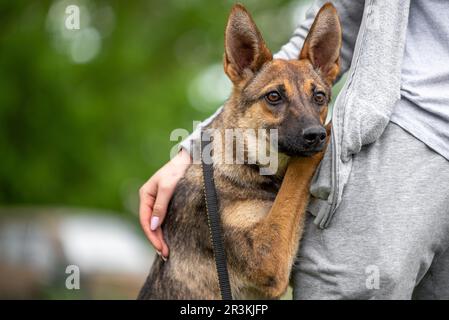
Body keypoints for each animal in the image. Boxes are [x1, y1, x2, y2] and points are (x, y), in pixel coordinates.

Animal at [138, 2, 342, 300]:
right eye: (273, 96)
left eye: (319, 97)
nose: (316, 135)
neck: (250, 163)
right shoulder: (267, 257)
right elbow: (295, 179)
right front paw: (329, 130)